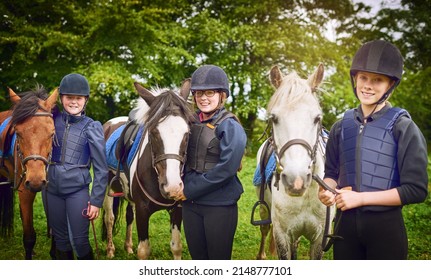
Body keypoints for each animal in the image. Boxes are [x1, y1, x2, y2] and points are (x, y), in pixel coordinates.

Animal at [103, 80, 194, 260]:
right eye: (153, 133)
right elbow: (144, 250)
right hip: (107, 188)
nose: (173, 187)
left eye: (187, 133)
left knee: (129, 216)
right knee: (109, 217)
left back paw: (128, 246)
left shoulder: (177, 209)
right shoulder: (143, 210)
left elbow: (176, 247)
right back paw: (110, 250)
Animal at [255, 64, 336, 260]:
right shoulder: (282, 235)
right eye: (274, 118)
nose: (296, 181)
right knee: (264, 229)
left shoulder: (319, 238)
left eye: (317, 118)